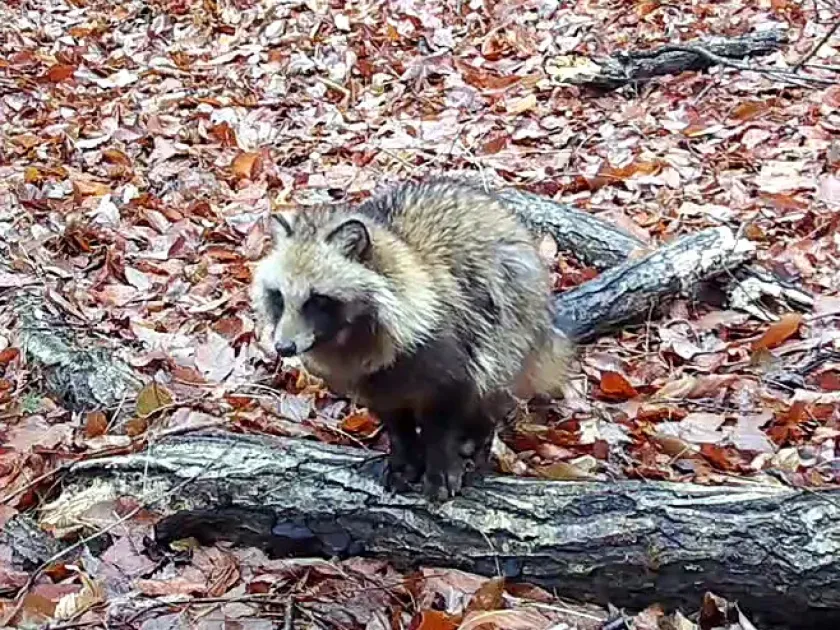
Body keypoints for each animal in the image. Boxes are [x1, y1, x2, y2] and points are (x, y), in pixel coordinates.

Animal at [251, 177, 572, 500]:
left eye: (316, 300)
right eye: (279, 297)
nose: (283, 347)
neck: (350, 335)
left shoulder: (452, 354)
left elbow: (443, 422)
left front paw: (440, 463)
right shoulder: (373, 380)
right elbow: (396, 423)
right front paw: (406, 457)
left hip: (515, 327)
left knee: (494, 383)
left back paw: (478, 438)